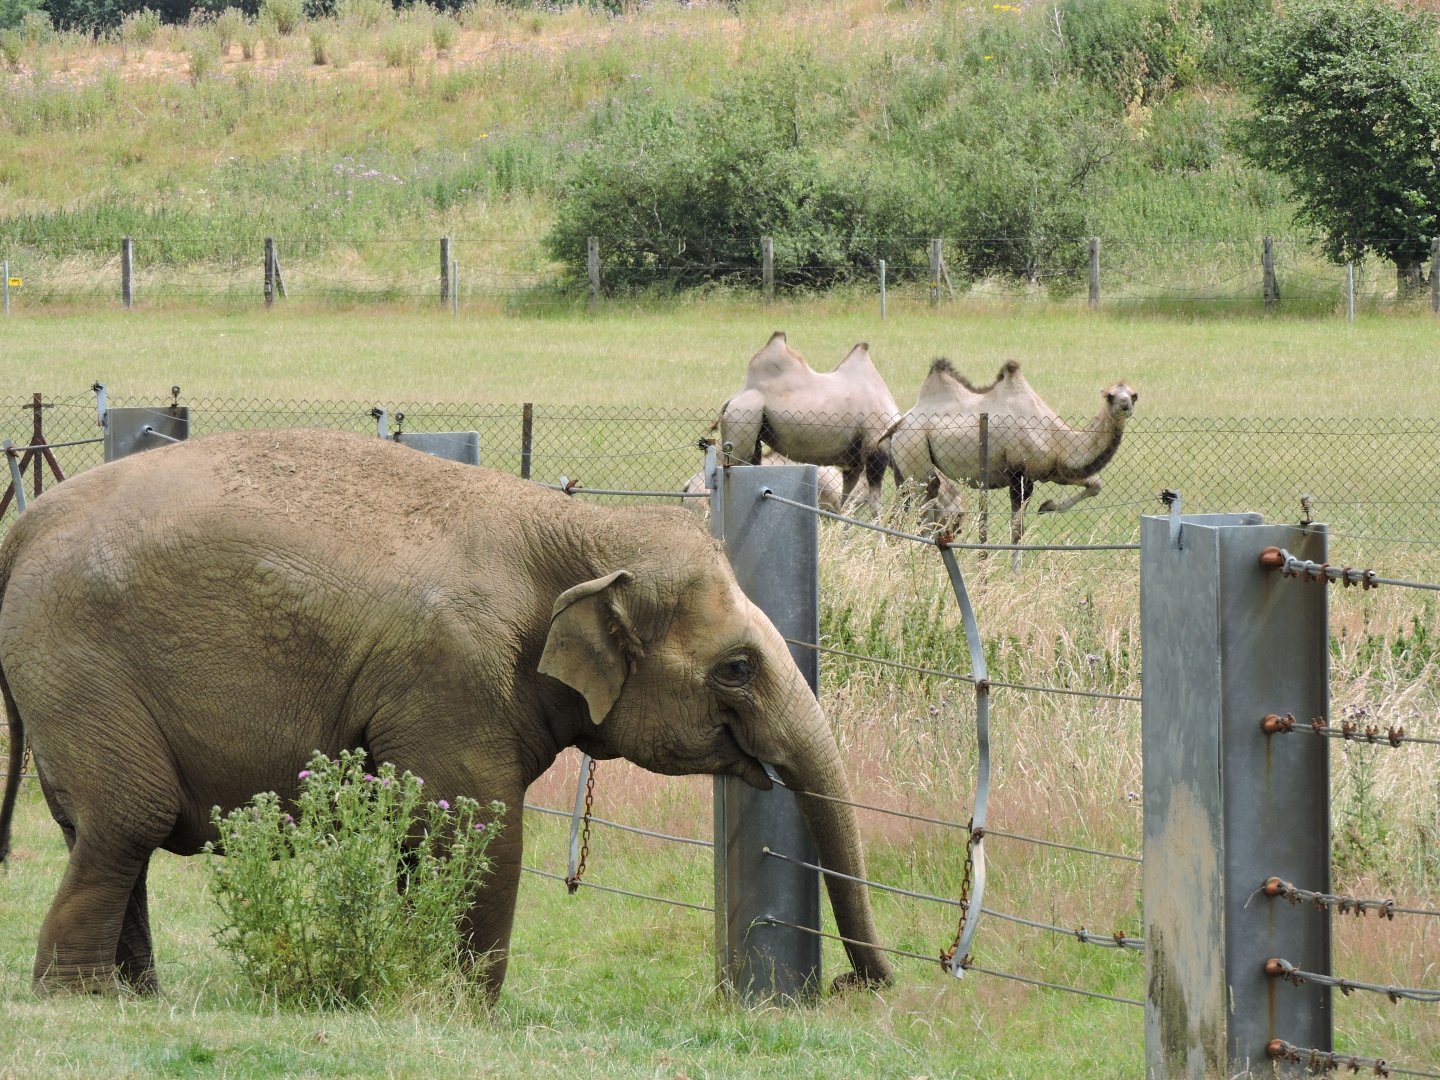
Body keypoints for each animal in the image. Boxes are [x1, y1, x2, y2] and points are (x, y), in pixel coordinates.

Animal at [0, 428, 895, 999]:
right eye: (737, 670)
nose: (859, 986)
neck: (576, 530)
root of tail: (26, 526)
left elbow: (424, 836)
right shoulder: (451, 673)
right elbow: (478, 829)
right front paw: (466, 1009)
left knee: (100, 827)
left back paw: (132, 994)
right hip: (78, 661)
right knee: (130, 817)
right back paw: (80, 997)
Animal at [716, 332, 900, 519]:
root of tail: (733, 399)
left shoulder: (854, 462)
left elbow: (846, 501)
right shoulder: (875, 448)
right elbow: (874, 504)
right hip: (743, 418)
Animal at [886, 358, 1138, 546]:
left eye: (1134, 395)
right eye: (1110, 396)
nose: (1125, 405)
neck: (1057, 439)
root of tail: (901, 422)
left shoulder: (1054, 471)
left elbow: (1095, 484)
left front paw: (1046, 506)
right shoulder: (1020, 474)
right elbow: (1017, 528)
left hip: (904, 466)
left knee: (904, 507)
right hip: (914, 451)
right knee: (926, 503)